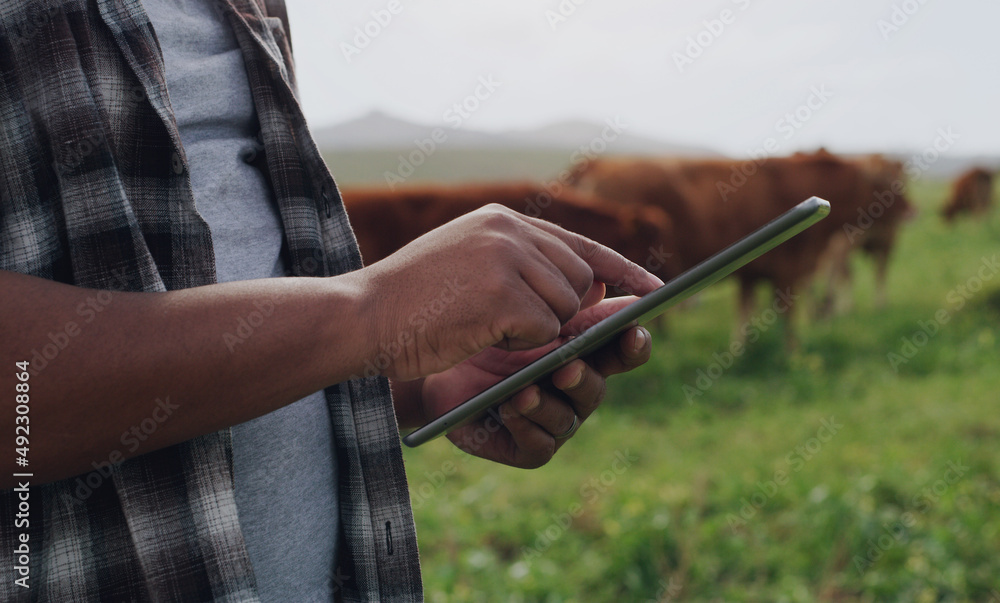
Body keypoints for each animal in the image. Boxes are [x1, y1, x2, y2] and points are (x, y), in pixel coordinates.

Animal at [564, 152, 908, 350]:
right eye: (888, 182)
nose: (911, 210)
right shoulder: (787, 267)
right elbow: (787, 317)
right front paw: (793, 357)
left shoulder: (756, 273)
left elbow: (751, 311)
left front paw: (741, 348)